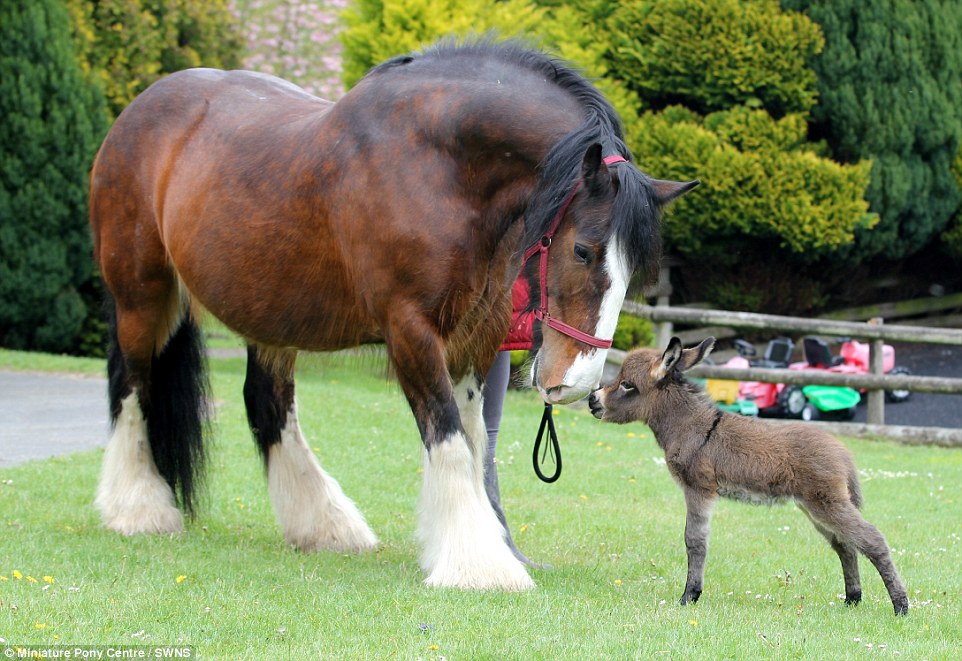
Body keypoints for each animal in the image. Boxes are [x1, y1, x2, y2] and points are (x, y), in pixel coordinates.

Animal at [88, 40, 688, 588]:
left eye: (634, 271)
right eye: (583, 250)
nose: (577, 382)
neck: (439, 167)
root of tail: (139, 110)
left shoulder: (477, 337)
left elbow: (473, 443)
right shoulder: (410, 333)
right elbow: (448, 439)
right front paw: (480, 566)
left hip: (268, 313)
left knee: (267, 403)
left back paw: (325, 525)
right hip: (141, 296)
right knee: (132, 387)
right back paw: (138, 509)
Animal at [584, 338, 908, 616]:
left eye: (627, 385)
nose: (592, 400)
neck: (689, 426)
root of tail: (843, 453)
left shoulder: (698, 488)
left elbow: (694, 540)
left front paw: (689, 596)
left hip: (826, 503)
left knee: (872, 539)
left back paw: (900, 606)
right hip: (814, 506)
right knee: (846, 546)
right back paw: (853, 599)